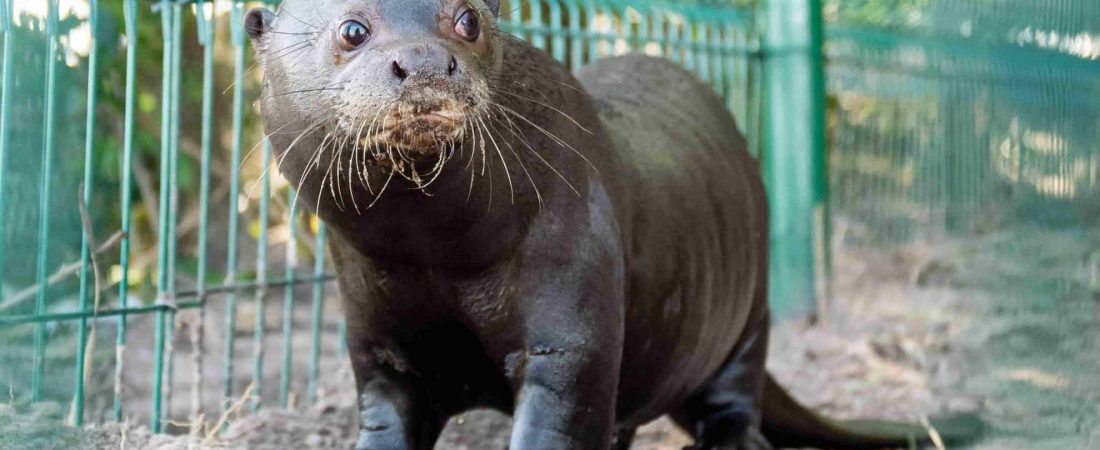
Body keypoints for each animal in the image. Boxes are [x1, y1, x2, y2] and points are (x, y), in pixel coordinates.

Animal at [243, 1, 981, 446]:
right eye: (353, 29)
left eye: (468, 19)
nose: (424, 61)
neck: (437, 261)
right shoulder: (379, 349)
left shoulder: (571, 315)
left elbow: (562, 414)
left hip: (748, 317)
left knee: (737, 407)